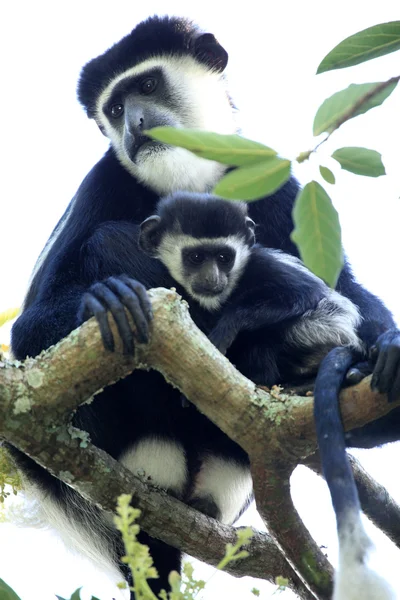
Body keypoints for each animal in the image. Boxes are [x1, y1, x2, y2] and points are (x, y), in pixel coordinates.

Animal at [9, 14, 400, 596]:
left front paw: (388, 347)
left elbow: (344, 289)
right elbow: (28, 333)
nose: (135, 123)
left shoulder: (270, 177)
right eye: (115, 108)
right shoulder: (102, 183)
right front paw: (104, 301)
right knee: (108, 239)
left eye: (148, 85)